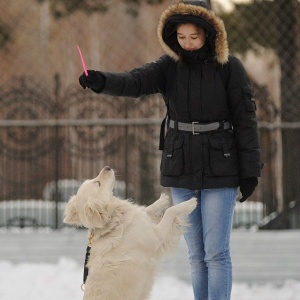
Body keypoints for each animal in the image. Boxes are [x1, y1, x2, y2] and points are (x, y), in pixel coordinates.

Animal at [63, 166, 197, 300]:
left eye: (94, 180)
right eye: (98, 183)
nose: (107, 167)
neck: (114, 221)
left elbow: (146, 209)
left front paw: (162, 199)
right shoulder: (157, 237)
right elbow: (171, 211)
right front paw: (190, 203)